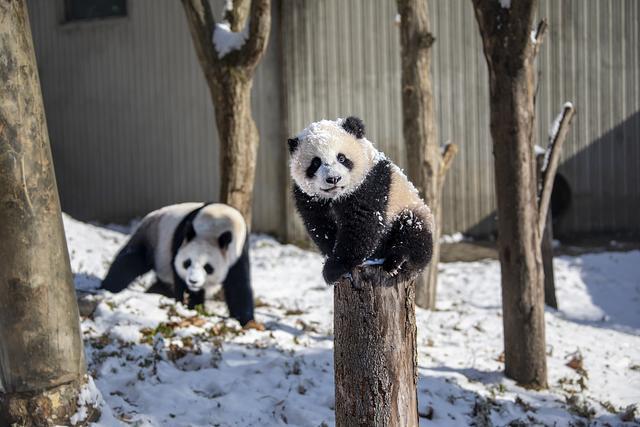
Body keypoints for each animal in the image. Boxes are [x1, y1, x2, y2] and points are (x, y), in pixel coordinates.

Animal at [100, 204, 255, 328]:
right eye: (187, 263)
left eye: (208, 267)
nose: (193, 281)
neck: (216, 222)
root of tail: (150, 215)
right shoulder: (180, 241)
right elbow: (178, 275)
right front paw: (188, 305)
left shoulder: (237, 253)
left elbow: (238, 286)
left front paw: (246, 321)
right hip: (152, 239)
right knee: (130, 262)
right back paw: (108, 288)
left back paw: (153, 292)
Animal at [288, 115, 436, 286]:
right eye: (315, 163)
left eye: (341, 158)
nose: (333, 179)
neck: (336, 196)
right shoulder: (308, 197)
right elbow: (320, 225)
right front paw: (332, 261)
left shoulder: (370, 182)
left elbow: (362, 224)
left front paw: (334, 269)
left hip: (411, 209)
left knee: (413, 234)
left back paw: (397, 262)